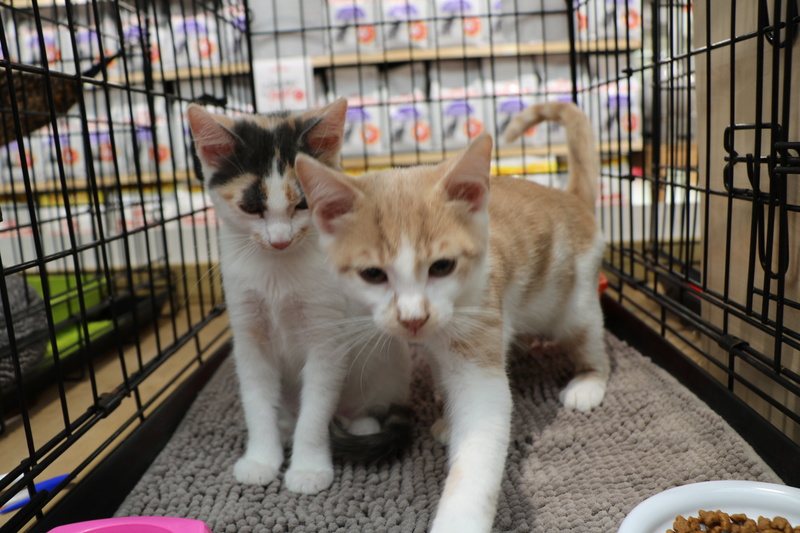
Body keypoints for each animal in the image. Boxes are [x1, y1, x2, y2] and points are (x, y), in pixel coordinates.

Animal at [186, 98, 412, 494]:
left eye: (303, 204)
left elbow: (317, 408)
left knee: (365, 404)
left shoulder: (327, 336)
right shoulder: (248, 333)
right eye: (251, 207)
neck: (276, 271)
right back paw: (284, 426)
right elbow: (257, 400)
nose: (280, 240)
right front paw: (261, 458)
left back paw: (360, 423)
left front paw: (308, 468)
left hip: (388, 362)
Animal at [296, 101, 608, 532]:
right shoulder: (439, 346)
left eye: (442, 267)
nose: (413, 316)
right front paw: (448, 417)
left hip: (575, 302)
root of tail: (569, 197)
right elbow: (447, 380)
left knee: (588, 337)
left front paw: (459, 517)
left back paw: (589, 381)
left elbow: (480, 434)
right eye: (373, 274)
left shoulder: (481, 324)